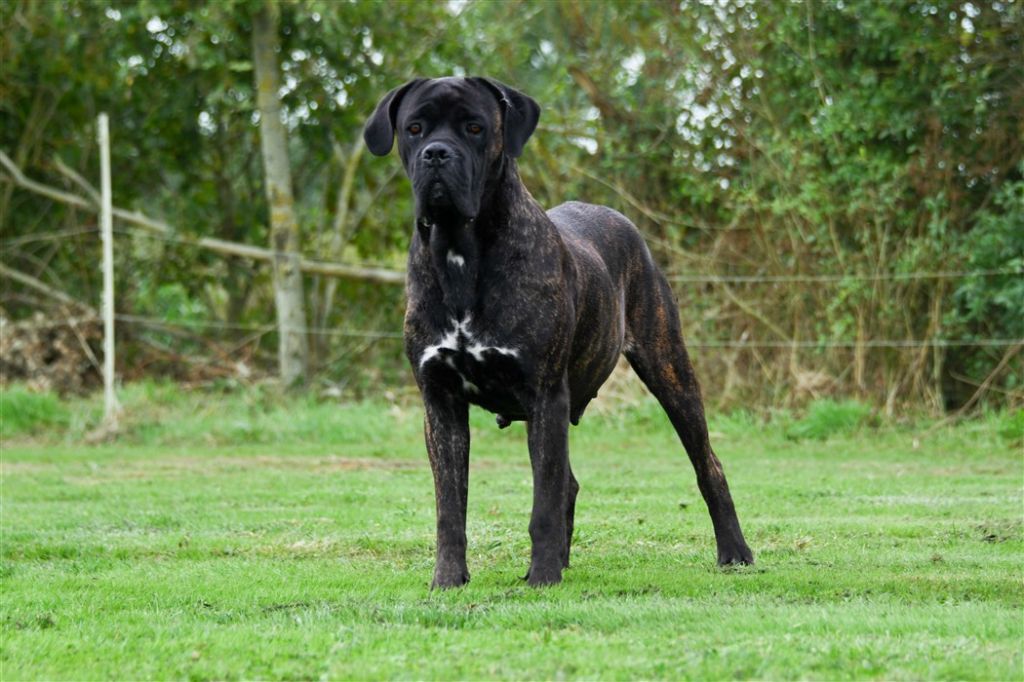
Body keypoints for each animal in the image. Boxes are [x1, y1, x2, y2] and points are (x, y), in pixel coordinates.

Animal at [362, 74, 753, 585]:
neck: (460, 250)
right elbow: (450, 505)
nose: (437, 153)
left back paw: (734, 551)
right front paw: (448, 578)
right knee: (569, 482)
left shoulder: (544, 393)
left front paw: (542, 575)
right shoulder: (440, 401)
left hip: (670, 370)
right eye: (414, 128)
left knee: (708, 465)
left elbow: (542, 502)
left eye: (474, 127)